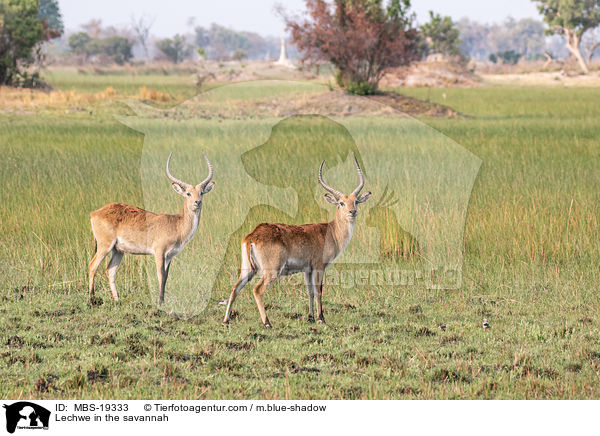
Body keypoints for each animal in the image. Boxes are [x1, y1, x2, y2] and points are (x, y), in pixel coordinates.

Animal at [86, 152, 213, 304]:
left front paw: (162, 300)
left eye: (201, 192)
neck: (177, 224)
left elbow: (166, 277)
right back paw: (92, 299)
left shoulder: (170, 256)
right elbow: (160, 276)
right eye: (188, 193)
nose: (197, 202)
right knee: (92, 265)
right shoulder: (159, 252)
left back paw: (117, 300)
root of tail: (94, 213)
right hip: (105, 245)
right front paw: (160, 302)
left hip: (118, 251)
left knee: (110, 271)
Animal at [221, 155, 370, 328]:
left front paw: (311, 317)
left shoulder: (307, 269)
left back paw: (226, 320)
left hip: (248, 269)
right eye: (341, 202)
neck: (330, 232)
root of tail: (253, 235)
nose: (353, 212)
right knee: (257, 290)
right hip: (271, 271)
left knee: (235, 288)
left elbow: (310, 291)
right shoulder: (319, 267)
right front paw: (321, 318)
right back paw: (267, 323)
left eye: (356, 201)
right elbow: (319, 290)